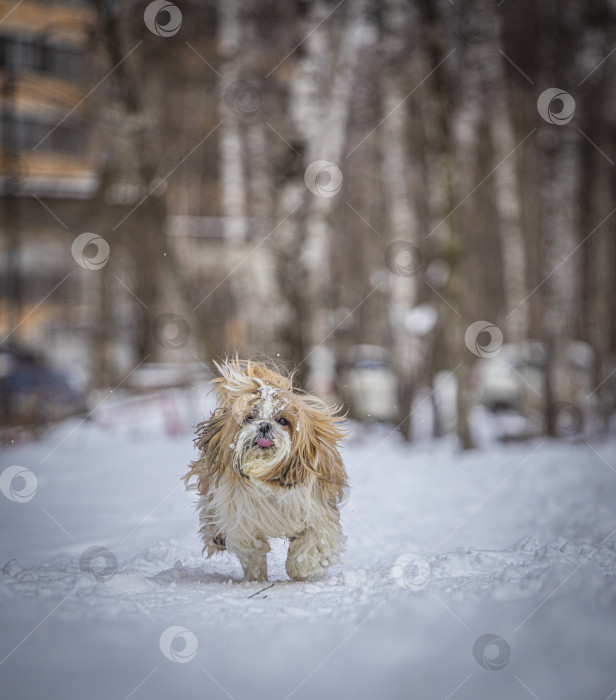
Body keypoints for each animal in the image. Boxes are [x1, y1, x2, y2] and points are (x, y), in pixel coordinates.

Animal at [183, 358, 348, 584]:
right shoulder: (240, 517)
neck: (268, 479)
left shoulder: (317, 512)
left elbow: (312, 542)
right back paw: (216, 537)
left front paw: (300, 569)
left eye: (283, 421)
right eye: (249, 418)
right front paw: (256, 577)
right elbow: (251, 549)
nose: (264, 426)